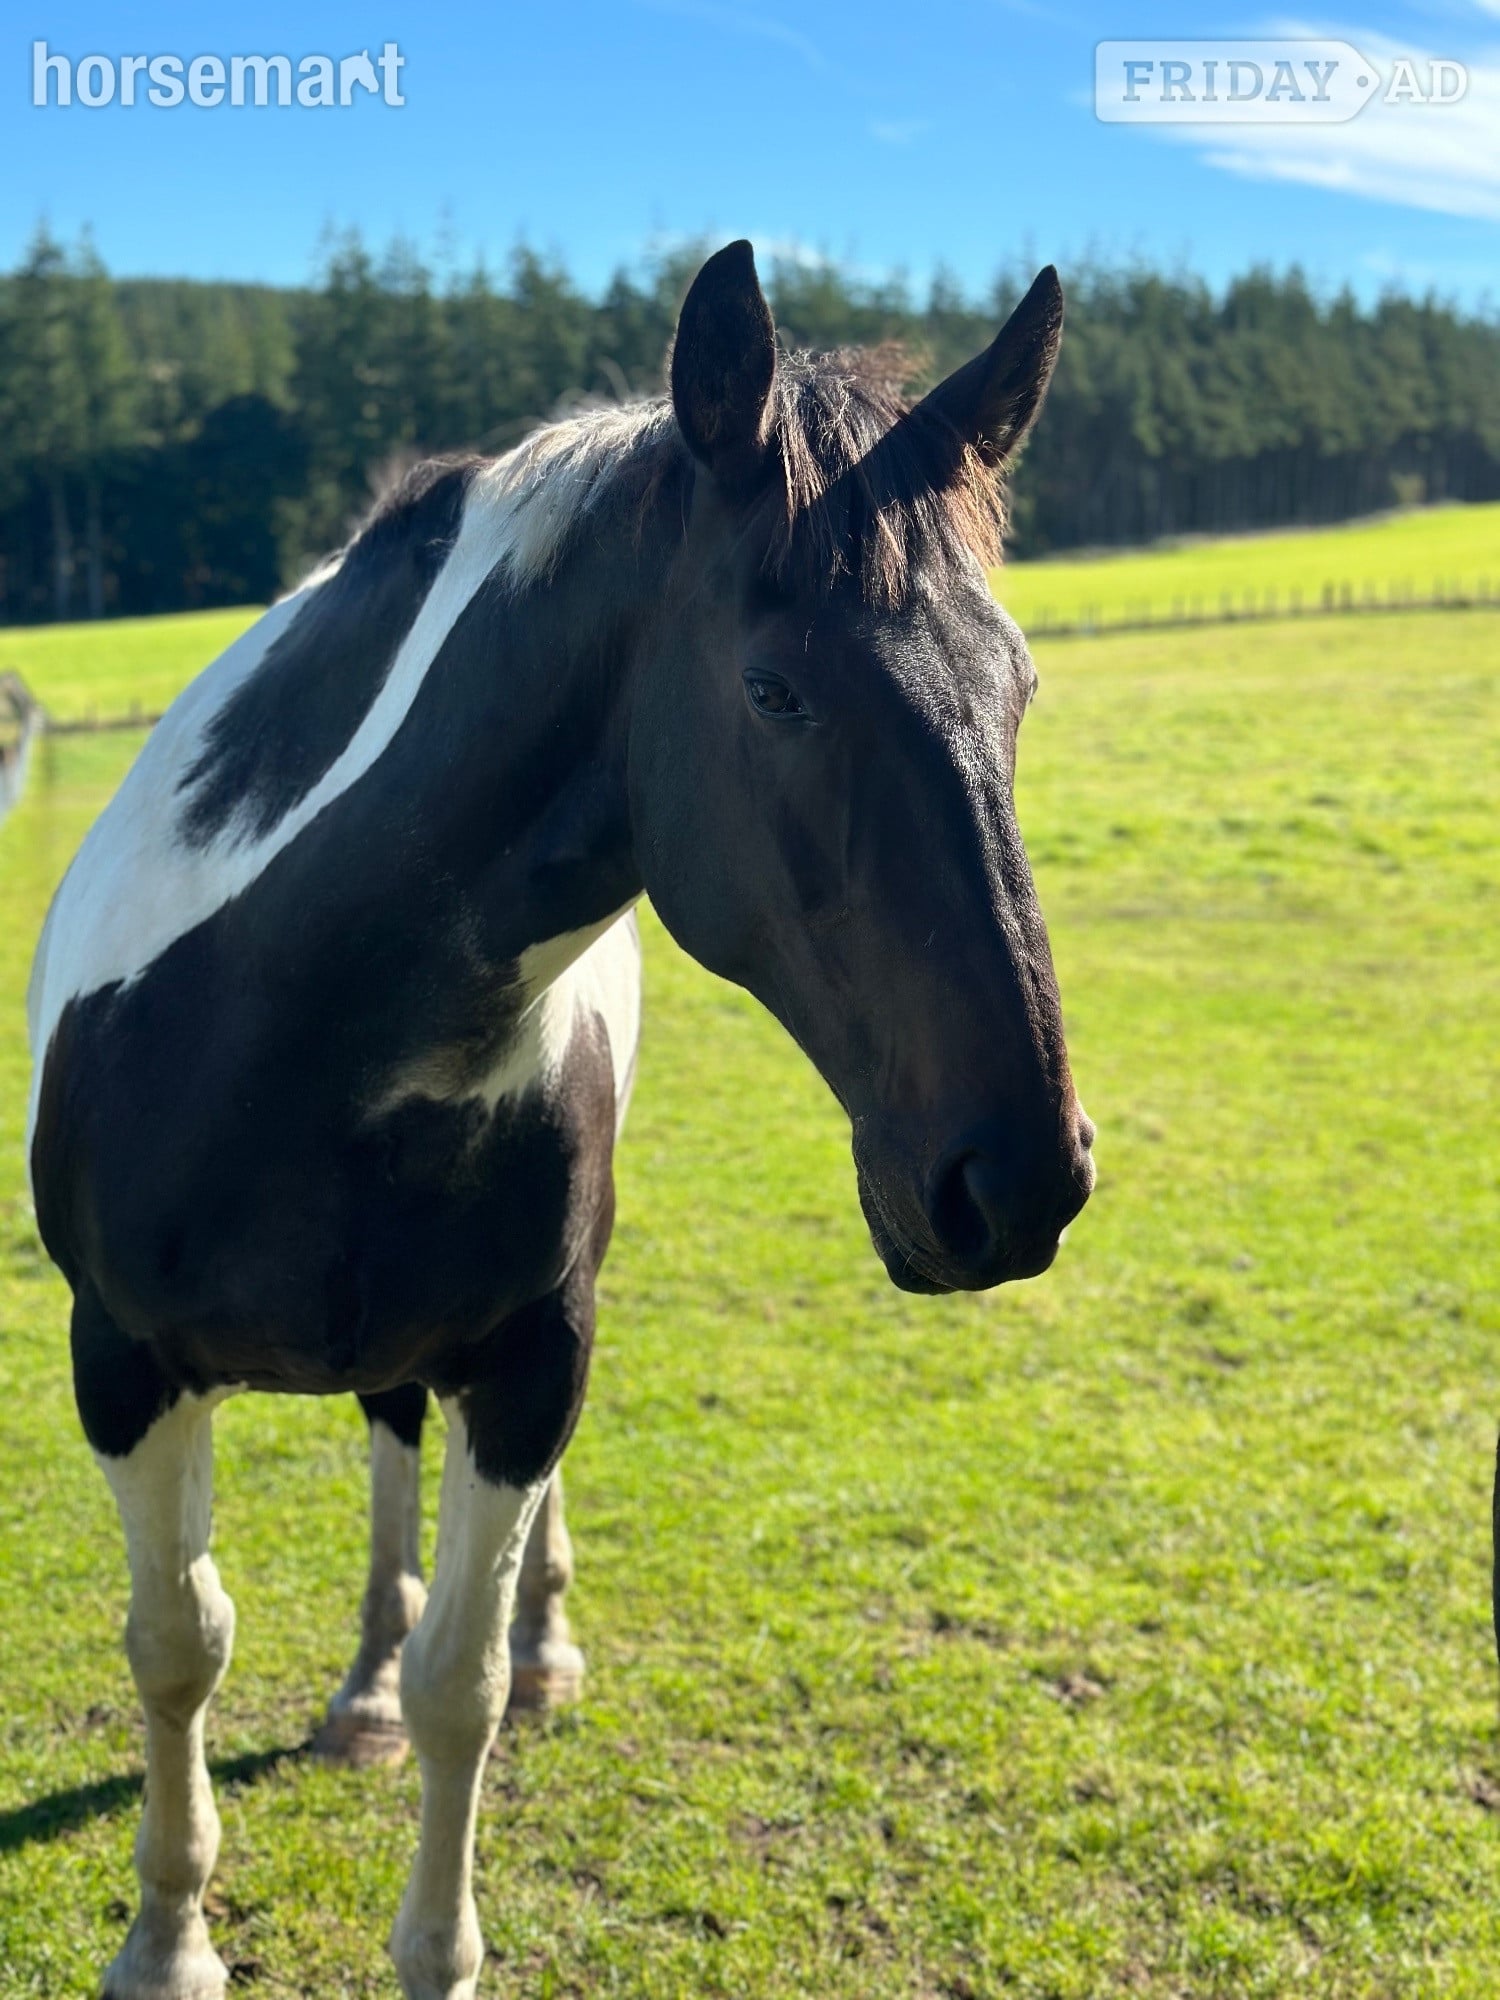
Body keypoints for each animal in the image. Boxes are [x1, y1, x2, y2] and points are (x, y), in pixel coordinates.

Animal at [26, 240, 1095, 2000]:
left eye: (1018, 686)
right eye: (773, 689)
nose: (1017, 1183)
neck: (289, 1006)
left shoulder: (534, 1361)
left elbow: (460, 1676)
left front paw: (441, 1908)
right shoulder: (120, 1362)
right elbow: (178, 1642)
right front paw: (167, 1941)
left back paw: (529, 1645)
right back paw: (357, 1693)